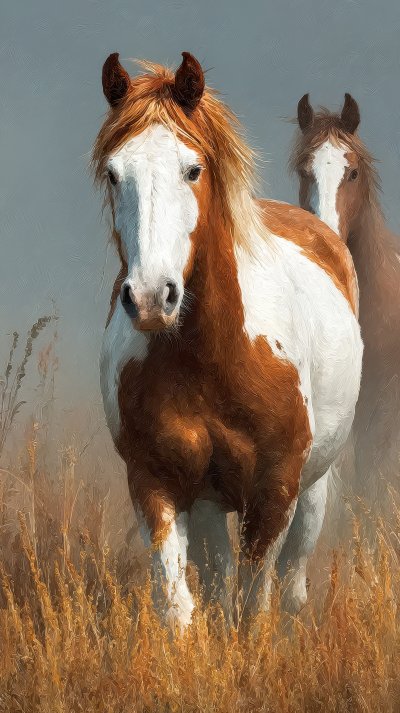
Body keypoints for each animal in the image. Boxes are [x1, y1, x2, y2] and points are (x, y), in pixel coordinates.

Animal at [93, 52, 362, 629]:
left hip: (311, 490)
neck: (214, 360)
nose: (150, 297)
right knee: (218, 582)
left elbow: (256, 605)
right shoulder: (156, 484)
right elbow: (182, 606)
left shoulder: (274, 492)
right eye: (113, 173)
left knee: (291, 583)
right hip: (211, 504)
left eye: (192, 169)